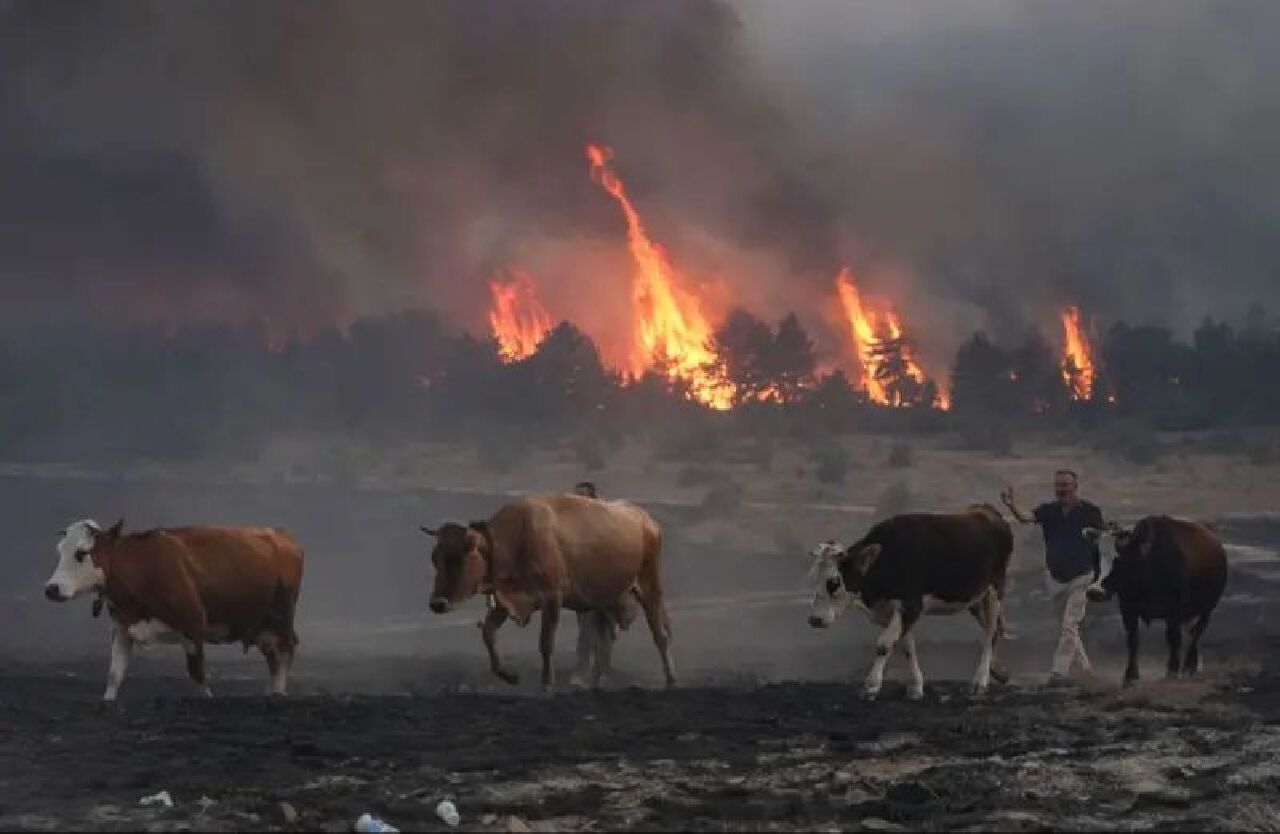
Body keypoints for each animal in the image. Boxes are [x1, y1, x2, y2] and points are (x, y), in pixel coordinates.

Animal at [44, 516, 304, 700]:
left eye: (81, 553)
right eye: (59, 550)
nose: (51, 589)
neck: (142, 569)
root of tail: (283, 537)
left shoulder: (192, 626)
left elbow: (197, 674)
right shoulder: (123, 628)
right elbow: (114, 675)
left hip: (281, 619)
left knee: (284, 653)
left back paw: (278, 694)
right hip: (262, 628)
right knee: (273, 658)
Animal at [422, 496, 680, 690]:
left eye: (456, 560)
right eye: (434, 558)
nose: (437, 603)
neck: (514, 541)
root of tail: (645, 519)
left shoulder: (551, 597)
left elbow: (546, 642)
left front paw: (547, 685)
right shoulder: (506, 601)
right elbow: (488, 633)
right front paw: (508, 675)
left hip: (650, 586)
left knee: (660, 635)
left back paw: (670, 680)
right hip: (601, 601)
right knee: (603, 640)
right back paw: (594, 684)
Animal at [1090, 516, 1228, 685]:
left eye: (1118, 559)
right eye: (1095, 558)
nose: (1095, 591)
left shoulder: (1174, 612)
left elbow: (1173, 638)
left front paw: (1172, 670)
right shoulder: (1128, 609)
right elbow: (1133, 640)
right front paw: (1130, 675)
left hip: (1208, 608)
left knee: (1197, 631)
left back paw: (1188, 665)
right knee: (1192, 632)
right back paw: (1192, 664)